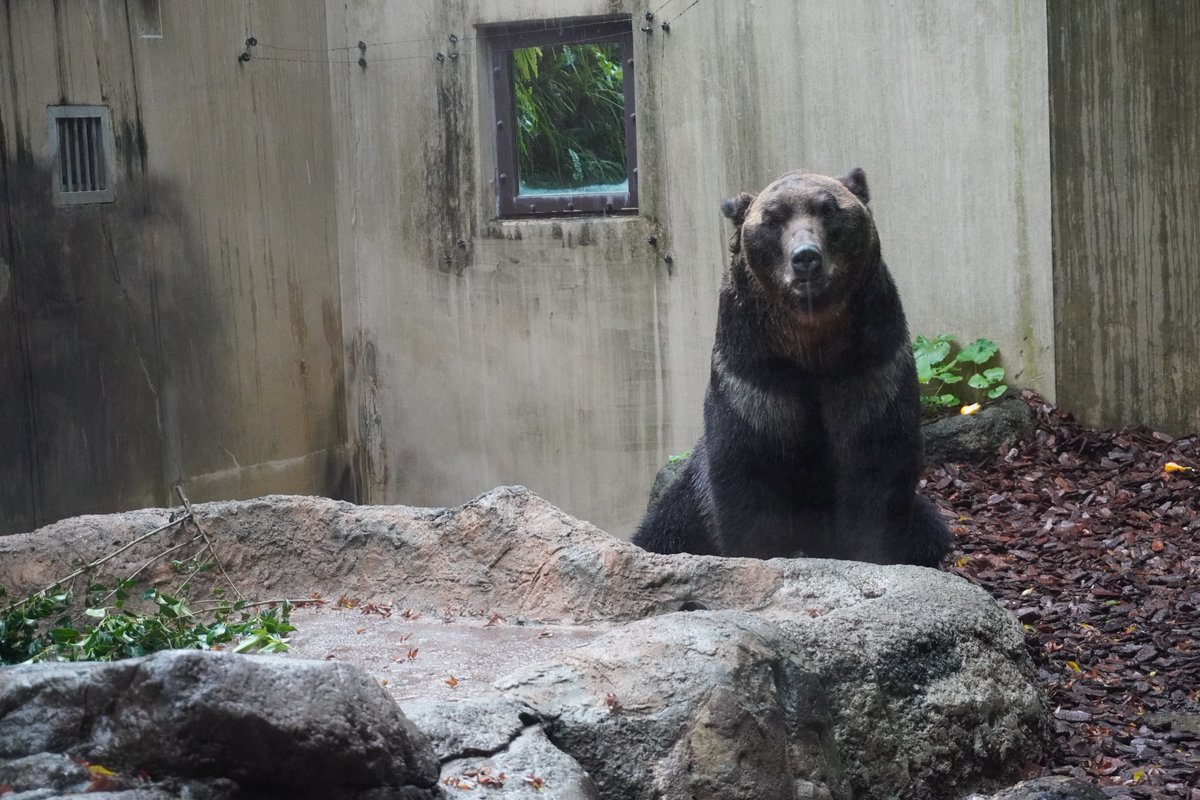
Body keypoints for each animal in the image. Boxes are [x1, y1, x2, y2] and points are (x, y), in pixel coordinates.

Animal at [632, 168, 952, 567]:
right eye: (772, 219)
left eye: (828, 208)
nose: (806, 258)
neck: (810, 346)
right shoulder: (755, 380)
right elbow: (748, 476)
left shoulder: (871, 369)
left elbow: (877, 474)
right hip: (684, 507)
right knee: (660, 532)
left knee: (930, 528)